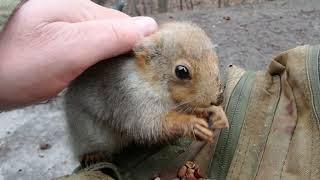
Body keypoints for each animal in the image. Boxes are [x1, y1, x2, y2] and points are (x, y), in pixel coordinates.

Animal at [63, 21, 229, 167]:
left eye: (215, 58)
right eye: (181, 71)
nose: (217, 99)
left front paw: (216, 112)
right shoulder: (132, 98)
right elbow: (150, 125)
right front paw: (192, 124)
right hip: (85, 134)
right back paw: (92, 155)